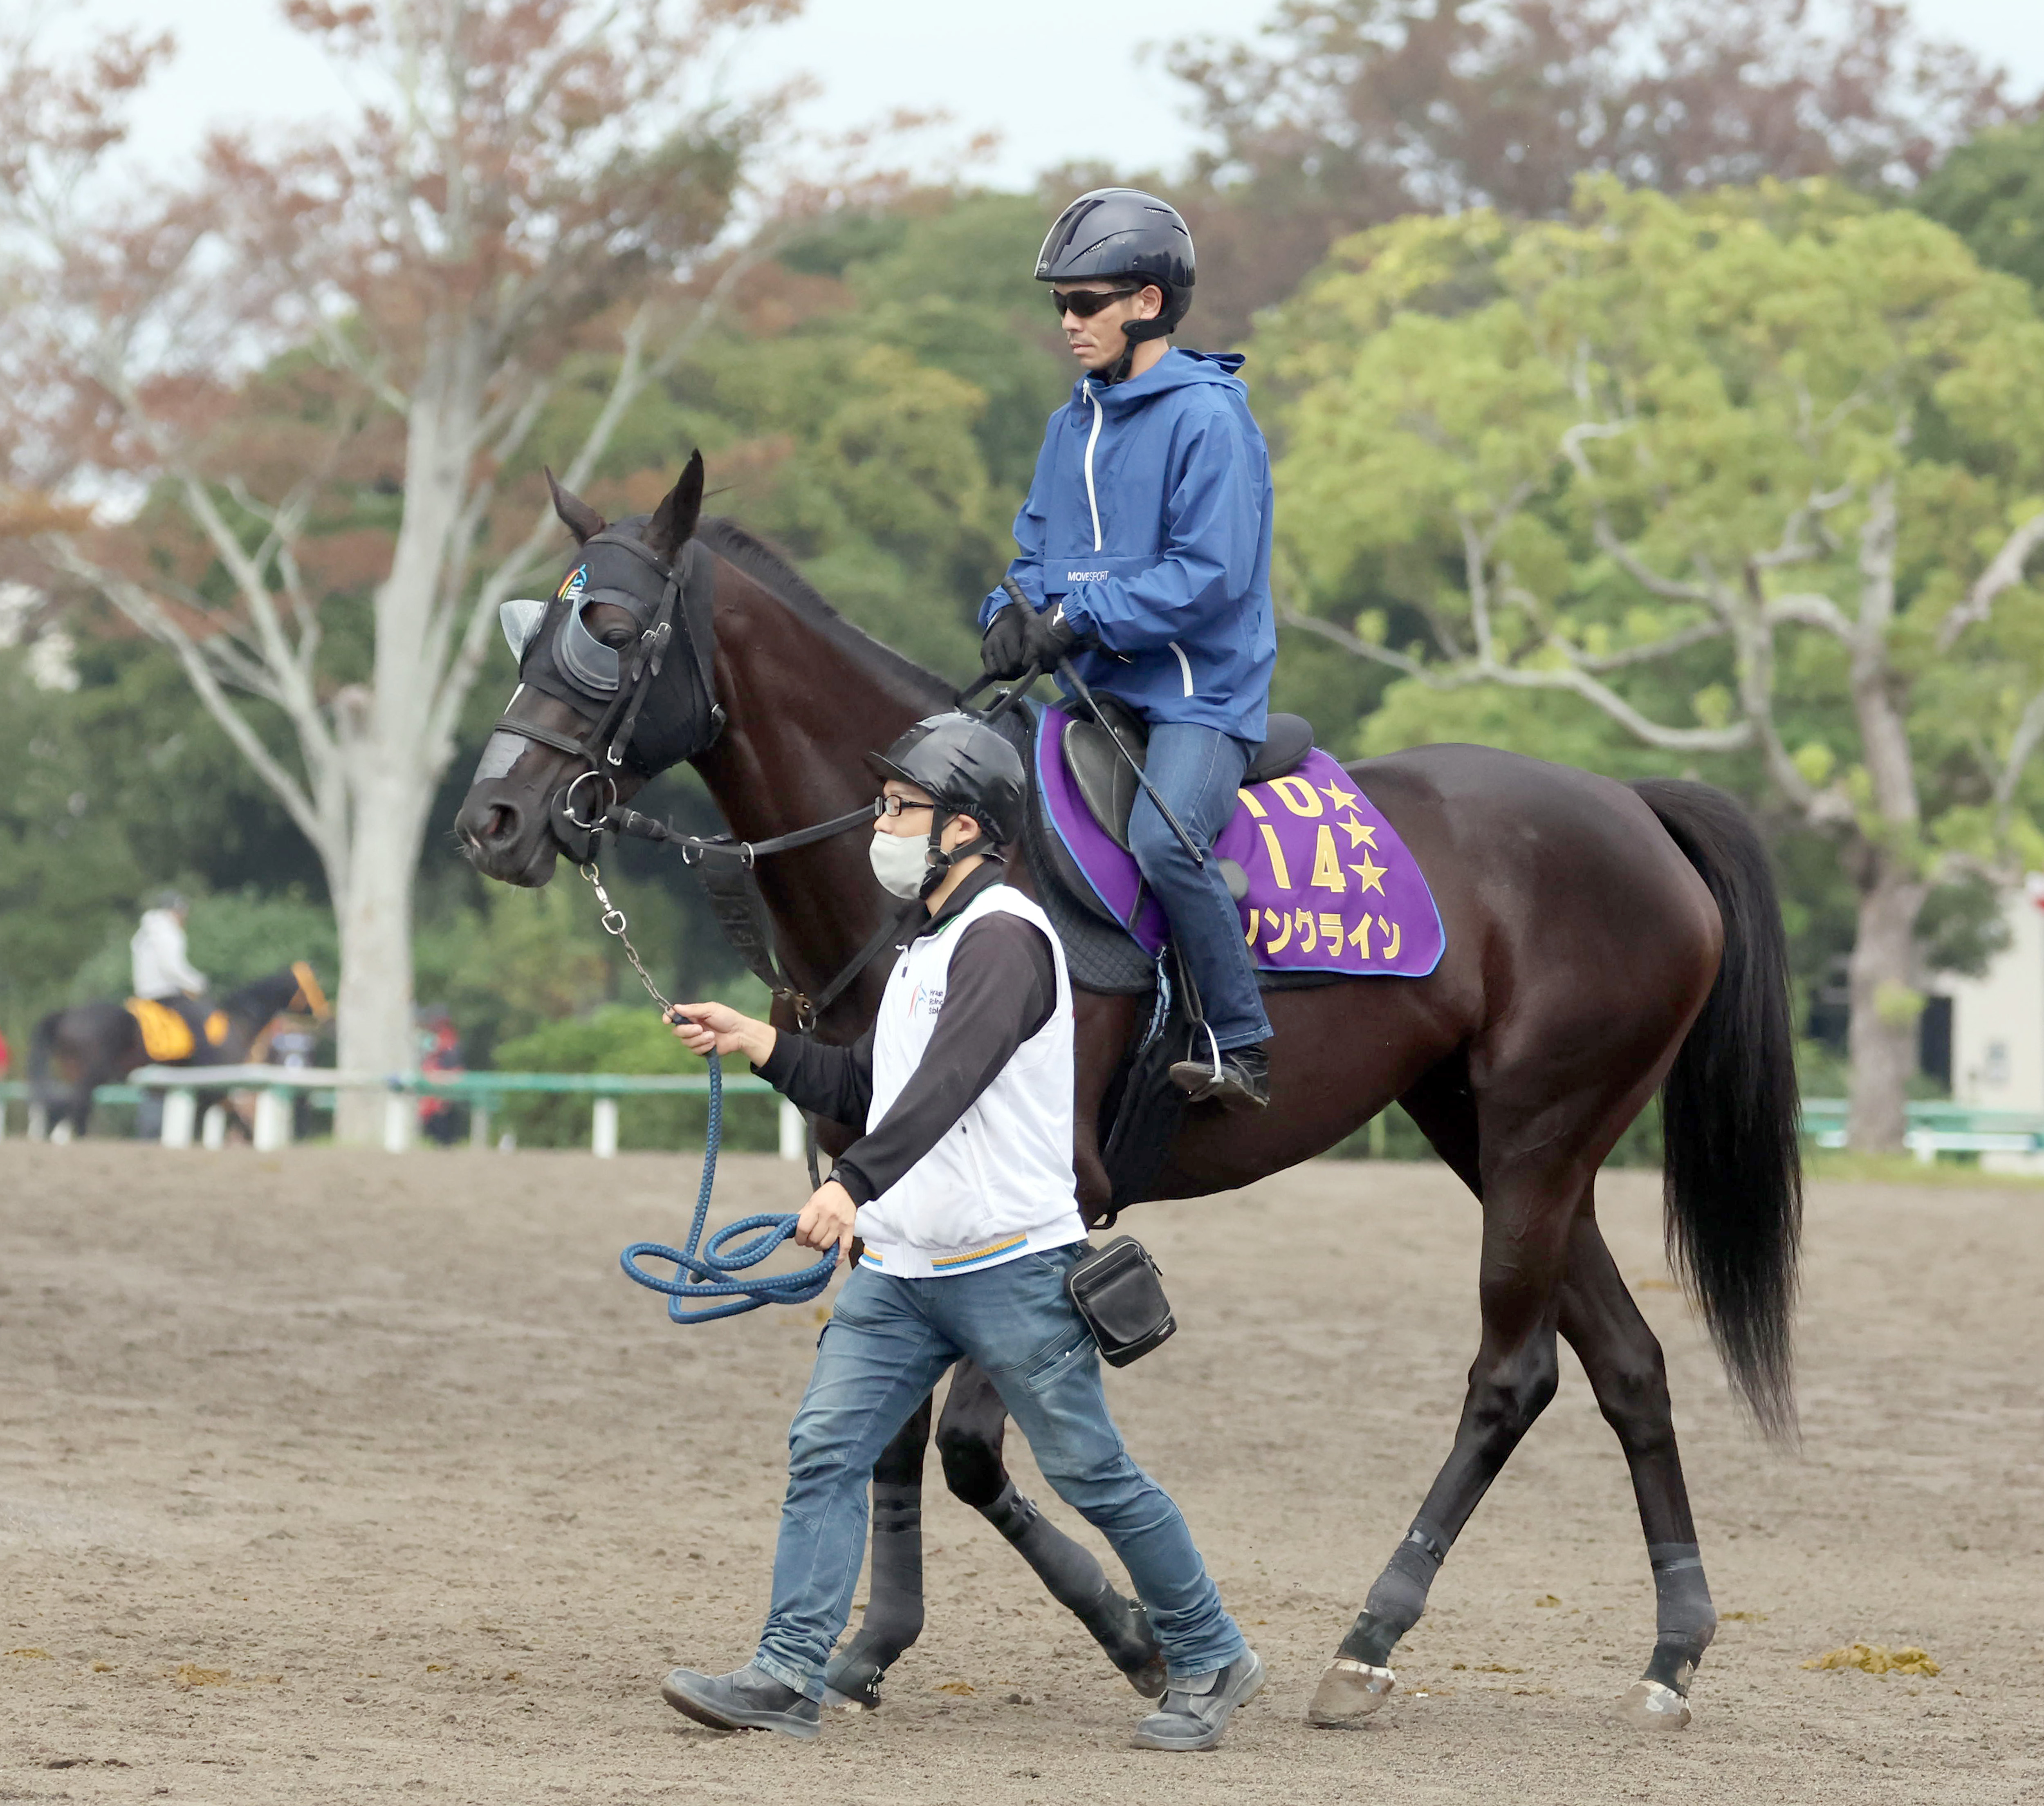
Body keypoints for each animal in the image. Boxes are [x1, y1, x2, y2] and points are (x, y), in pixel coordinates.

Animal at [28, 968, 329, 1136]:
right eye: (312, 983)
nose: (326, 1013)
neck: (236, 1022)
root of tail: (65, 1015)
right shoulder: (215, 1087)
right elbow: (234, 1118)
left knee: (67, 1112)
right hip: (90, 1076)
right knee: (75, 1111)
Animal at [455, 462, 1799, 1732]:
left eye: (612, 627)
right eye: (530, 634)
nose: (493, 820)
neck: (927, 895)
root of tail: (1633, 807)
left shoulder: (1055, 1195)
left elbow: (969, 1444)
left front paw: (1138, 1633)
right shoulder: (880, 1183)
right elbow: (896, 1429)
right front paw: (872, 1641)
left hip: (1537, 1133)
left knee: (1512, 1376)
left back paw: (1369, 1638)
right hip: (1489, 1133)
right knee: (1628, 1361)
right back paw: (1672, 1648)